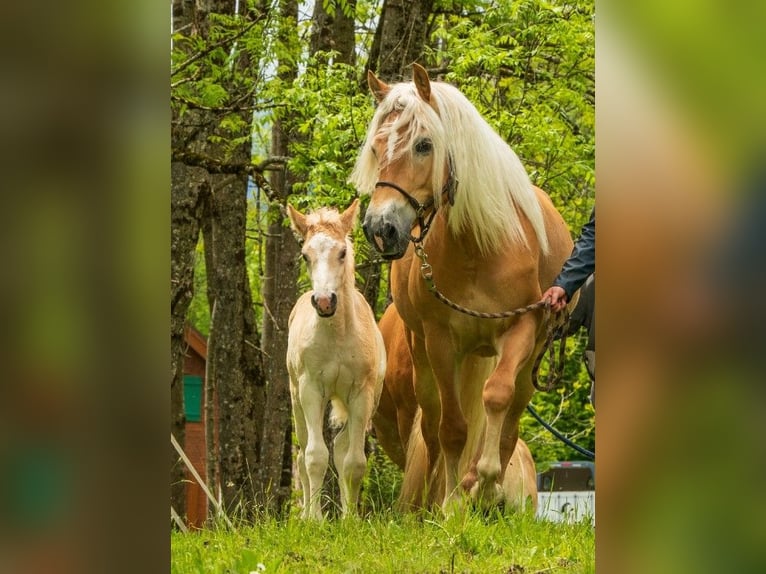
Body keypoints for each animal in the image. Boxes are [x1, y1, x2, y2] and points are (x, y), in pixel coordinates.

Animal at [286, 199, 388, 520]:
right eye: (305, 255)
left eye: (342, 252)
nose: (324, 302)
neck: (338, 337)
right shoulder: (311, 389)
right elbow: (315, 456)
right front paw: (315, 520)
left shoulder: (361, 394)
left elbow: (353, 461)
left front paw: (350, 519)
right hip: (296, 399)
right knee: (303, 452)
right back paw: (305, 515)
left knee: (342, 448)